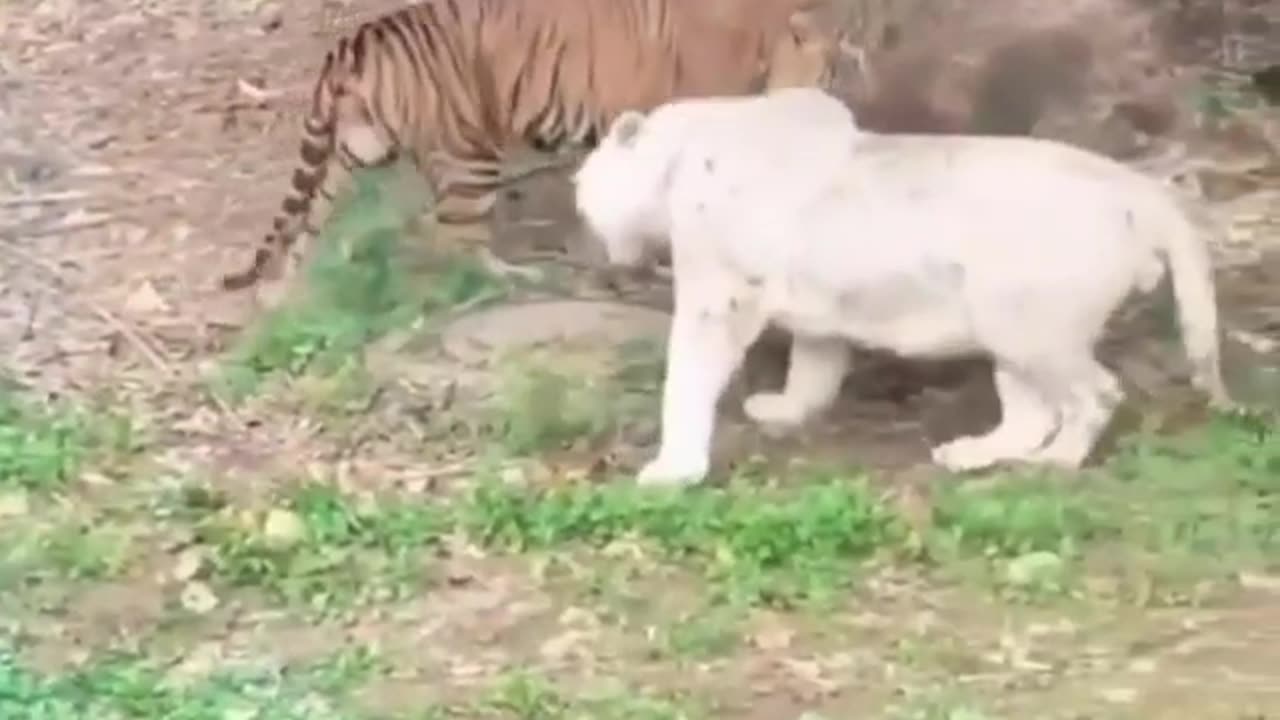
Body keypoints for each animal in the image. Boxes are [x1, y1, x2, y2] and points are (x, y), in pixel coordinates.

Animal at [222, 0, 839, 298]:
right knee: (454, 240)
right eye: (829, 70)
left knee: (308, 221)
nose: (836, 98)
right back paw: (518, 278)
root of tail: (357, 42)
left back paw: (281, 292)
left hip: (355, 151)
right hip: (470, 157)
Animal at [570, 87, 1228, 484]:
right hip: (1009, 328)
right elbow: (814, 364)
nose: (582, 218)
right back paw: (970, 453)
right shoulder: (820, 301)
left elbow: (688, 375)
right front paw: (784, 409)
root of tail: (1142, 190)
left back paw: (1057, 461)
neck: (677, 161)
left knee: (1094, 394)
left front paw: (670, 471)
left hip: (1034, 326)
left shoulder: (721, 292)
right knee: (1030, 411)